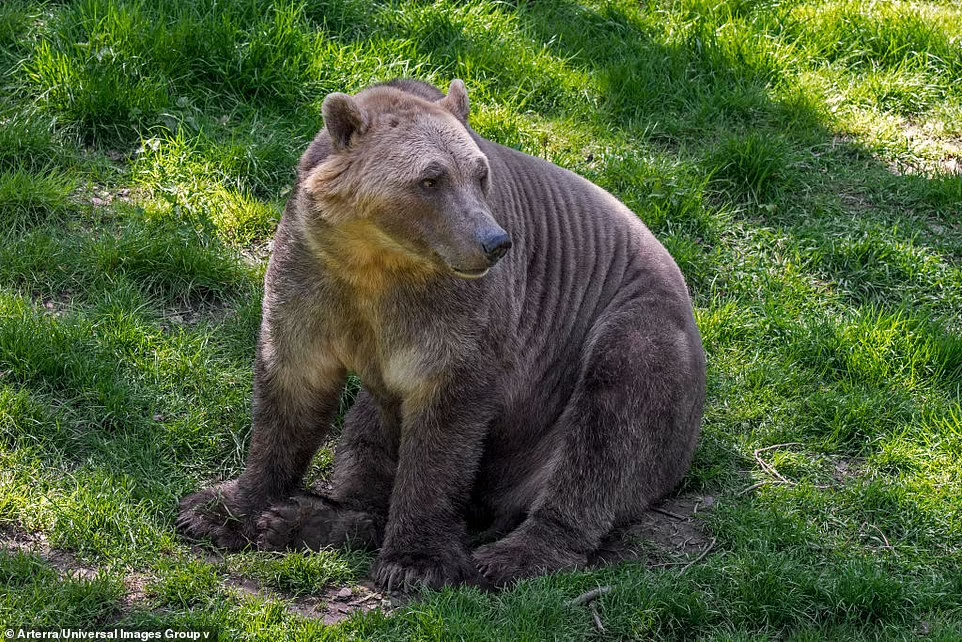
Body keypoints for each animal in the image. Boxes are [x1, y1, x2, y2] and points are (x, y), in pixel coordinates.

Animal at [178, 77, 704, 588]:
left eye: (479, 174)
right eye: (431, 179)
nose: (494, 243)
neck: (376, 259)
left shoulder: (459, 317)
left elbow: (444, 426)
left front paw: (416, 561)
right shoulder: (312, 274)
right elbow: (292, 383)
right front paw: (218, 510)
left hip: (632, 330)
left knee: (608, 426)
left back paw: (515, 555)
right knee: (367, 432)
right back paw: (305, 521)